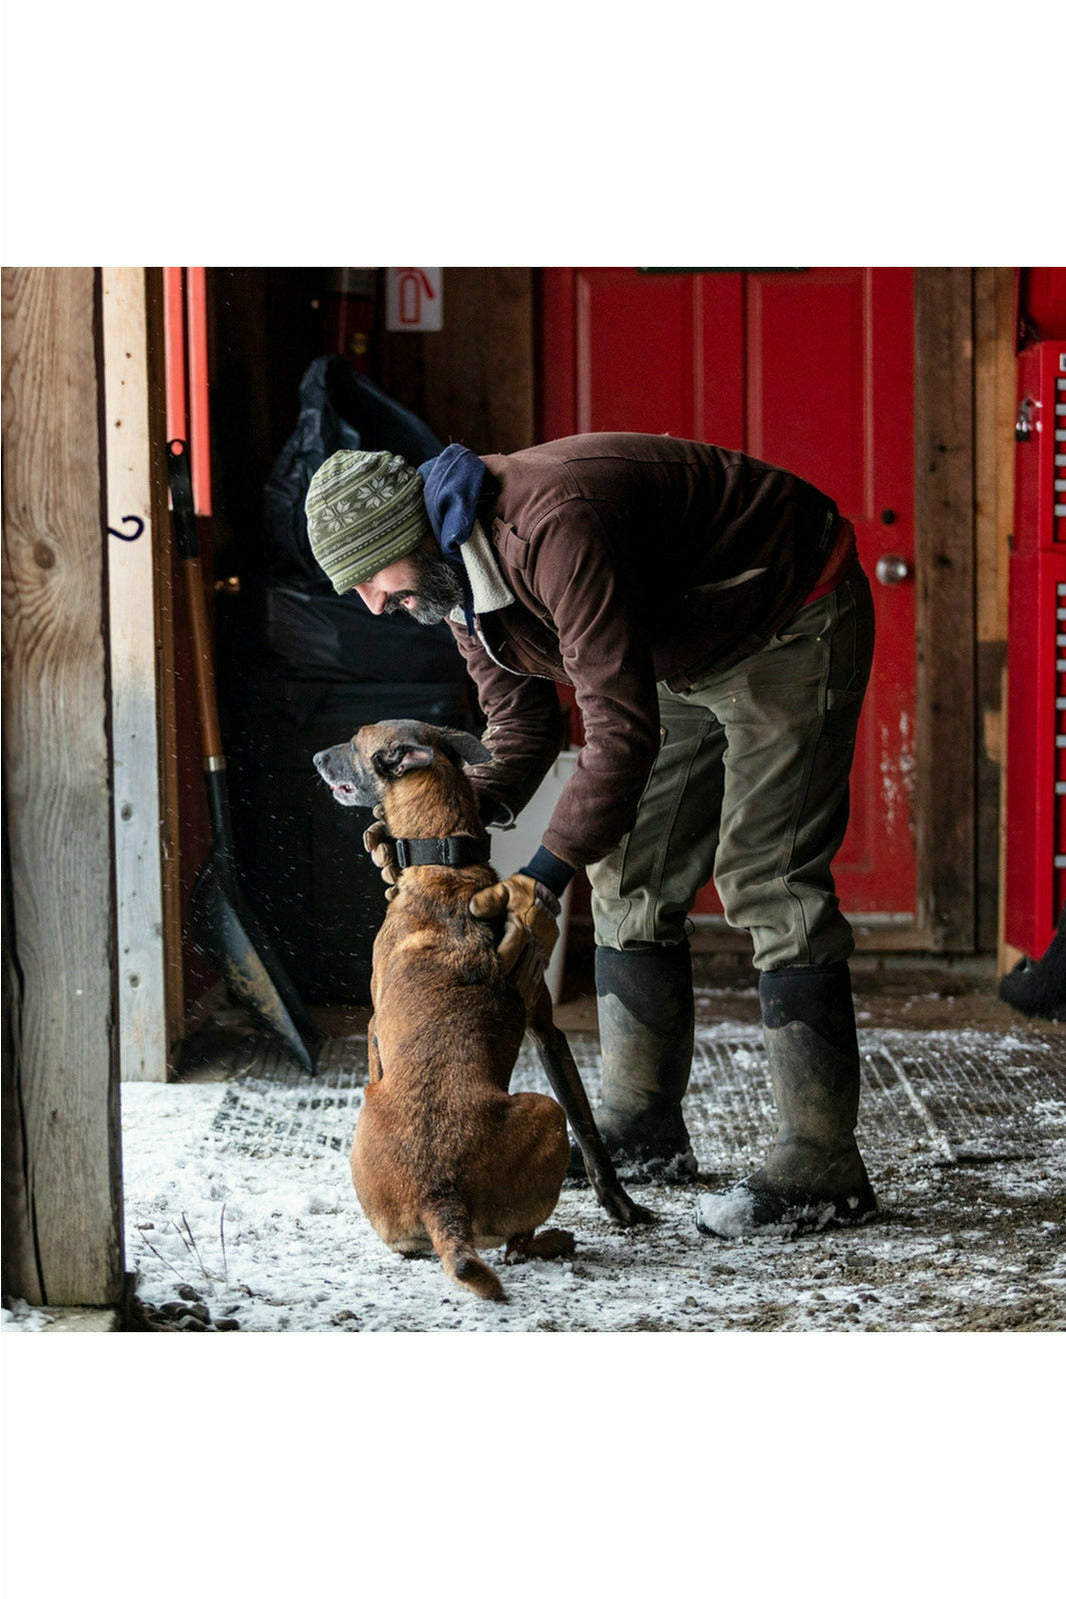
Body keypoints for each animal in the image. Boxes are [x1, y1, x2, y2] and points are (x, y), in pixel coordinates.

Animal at [313, 722, 655, 1298]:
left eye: (357, 741)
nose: (316, 756)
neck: (446, 866)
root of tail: (440, 1196)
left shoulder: (381, 1027)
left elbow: (587, 1126)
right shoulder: (544, 1026)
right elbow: (589, 1128)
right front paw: (620, 1205)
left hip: (543, 1112)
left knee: (517, 1245)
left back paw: (552, 1240)